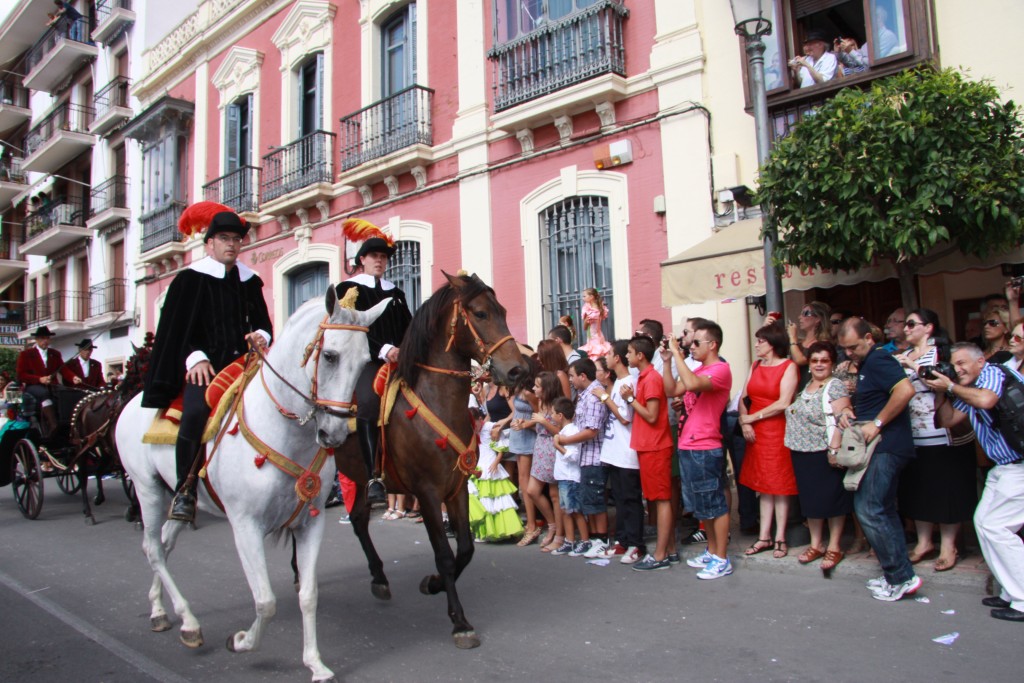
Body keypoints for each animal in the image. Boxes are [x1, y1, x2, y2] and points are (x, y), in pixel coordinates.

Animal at [115, 286, 387, 679]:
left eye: (365, 361)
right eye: (330, 356)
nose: (334, 434)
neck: (283, 430)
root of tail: (130, 401)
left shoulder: (310, 523)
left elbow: (308, 596)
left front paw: (315, 664)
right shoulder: (245, 526)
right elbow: (266, 601)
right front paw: (242, 641)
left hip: (173, 495)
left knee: (163, 546)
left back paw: (160, 611)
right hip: (147, 490)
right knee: (152, 549)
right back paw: (189, 622)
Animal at [335, 270, 528, 647]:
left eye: (503, 311)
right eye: (481, 313)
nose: (516, 371)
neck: (436, 400)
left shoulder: (455, 488)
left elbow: (464, 550)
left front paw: (433, 585)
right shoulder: (426, 492)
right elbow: (444, 555)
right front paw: (460, 621)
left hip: (358, 477)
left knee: (358, 520)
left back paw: (379, 578)